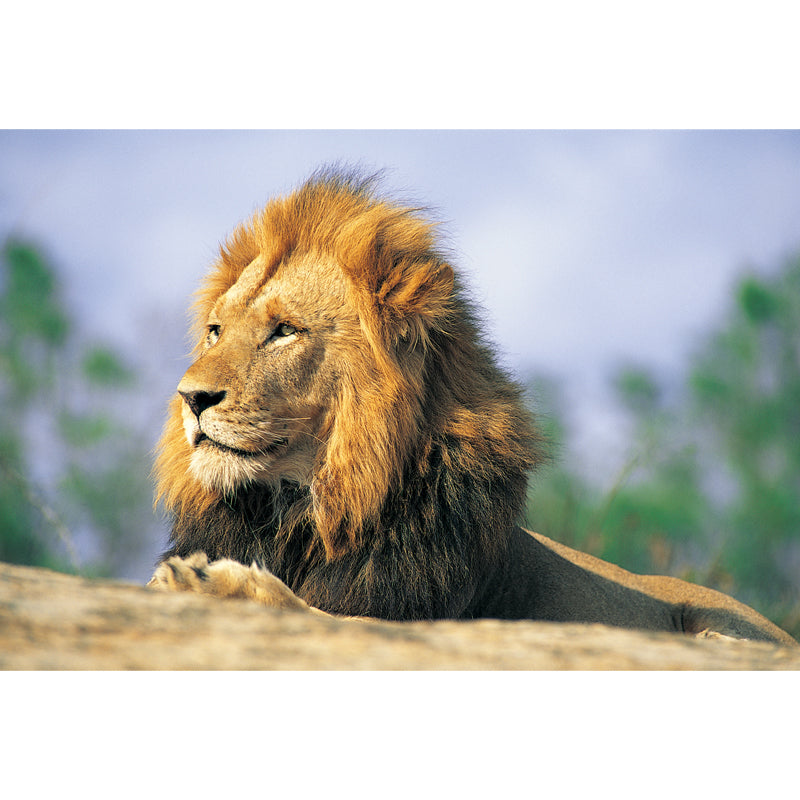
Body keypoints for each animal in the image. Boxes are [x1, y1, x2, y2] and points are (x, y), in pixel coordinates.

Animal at [149, 168, 797, 648]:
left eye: (285, 330)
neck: (303, 509)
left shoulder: (421, 615)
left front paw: (211, 581)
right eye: (214, 332)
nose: (191, 398)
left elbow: (327, 614)